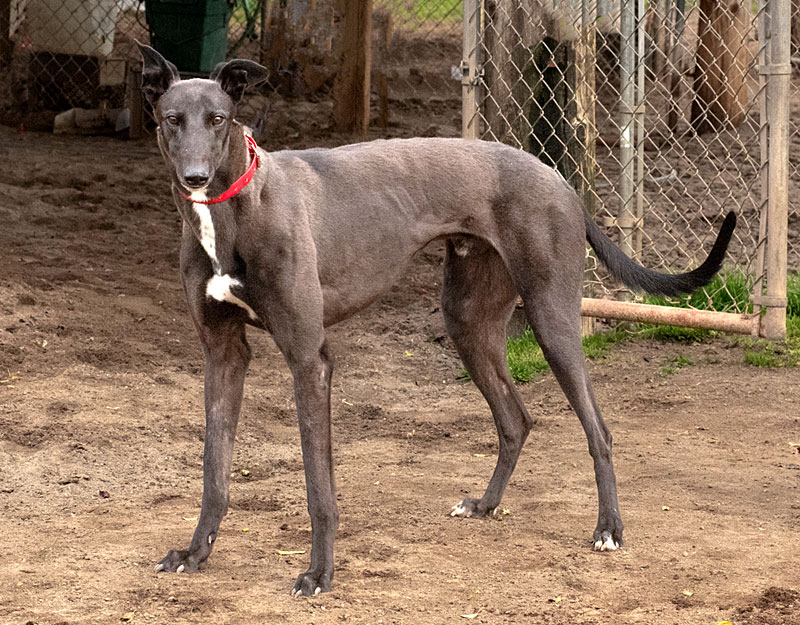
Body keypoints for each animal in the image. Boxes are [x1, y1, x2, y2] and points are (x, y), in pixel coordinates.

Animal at [138, 44, 736, 596]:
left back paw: (609, 528)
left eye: (219, 118)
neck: (235, 210)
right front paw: (195, 554)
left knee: (599, 430)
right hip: (469, 323)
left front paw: (320, 573)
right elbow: (214, 472)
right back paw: (486, 505)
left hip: (552, 319)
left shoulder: (310, 358)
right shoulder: (223, 355)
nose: (195, 177)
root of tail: (560, 179)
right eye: (172, 119)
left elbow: (318, 486)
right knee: (515, 420)